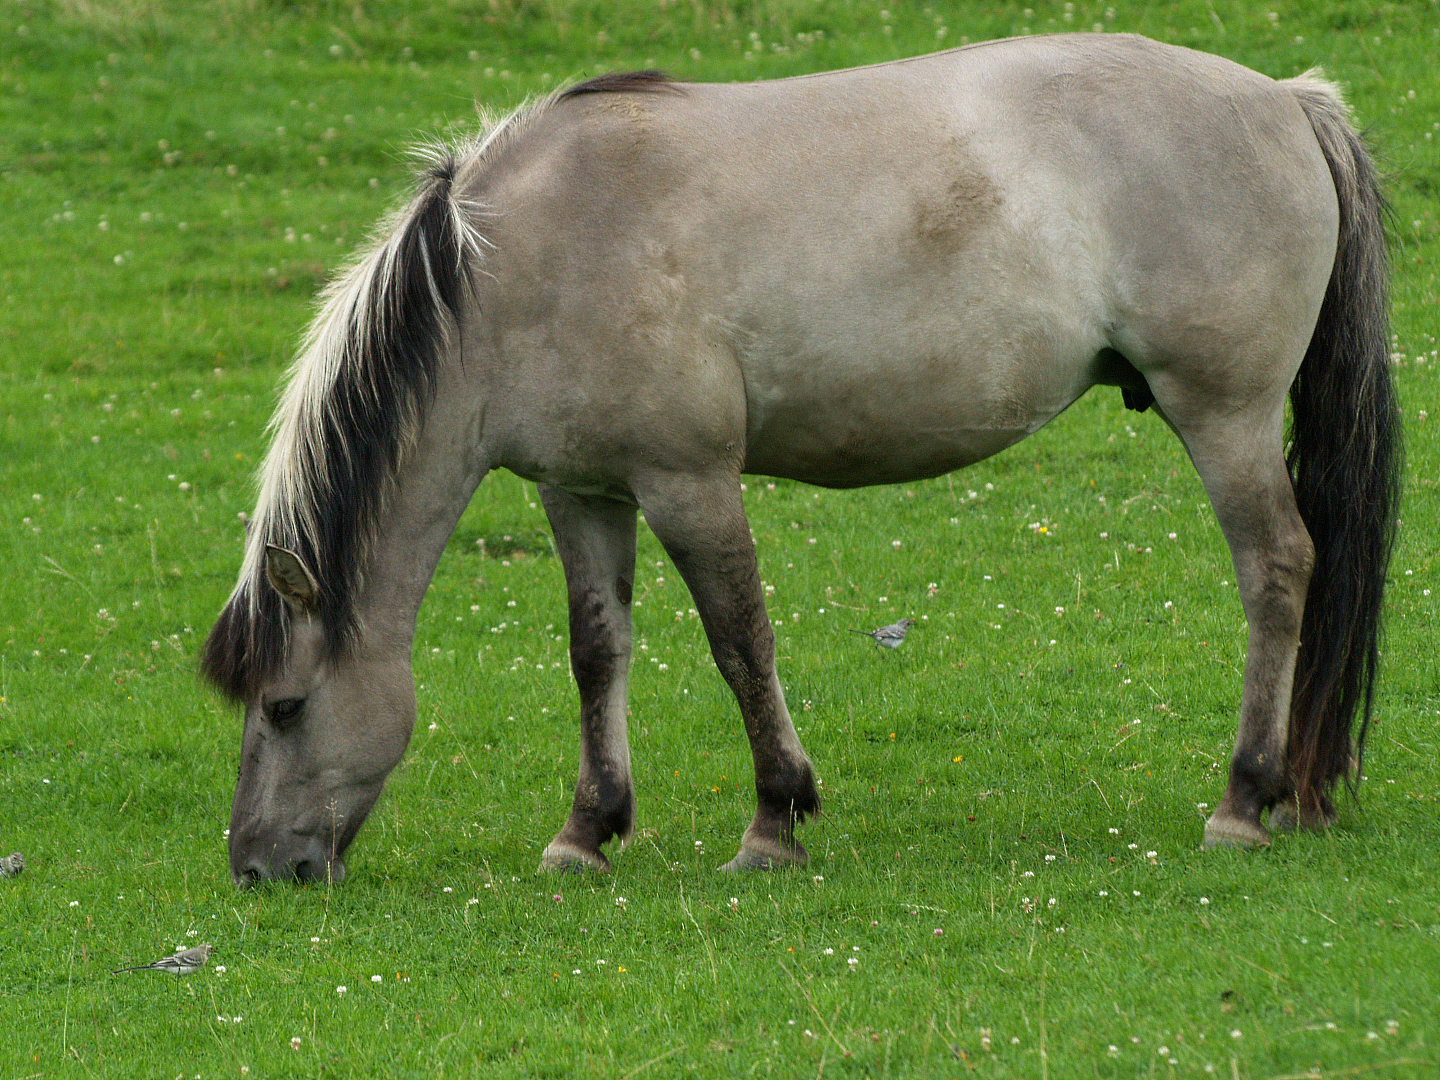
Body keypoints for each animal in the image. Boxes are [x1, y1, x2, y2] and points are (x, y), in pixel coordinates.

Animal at [202, 33, 1399, 886]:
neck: (525, 260)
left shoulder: (689, 483)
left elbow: (741, 641)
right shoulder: (581, 494)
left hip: (1224, 415)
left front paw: (774, 820)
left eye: (287, 708)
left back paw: (1244, 799)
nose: (257, 869)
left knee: (1278, 568)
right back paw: (1296, 791)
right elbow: (598, 652)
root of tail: (1285, 99)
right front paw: (588, 829)